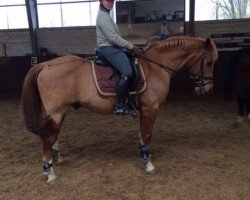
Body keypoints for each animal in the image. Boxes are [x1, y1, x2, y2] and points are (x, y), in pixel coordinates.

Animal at [21, 36, 217, 184]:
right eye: (208, 63)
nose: (207, 89)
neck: (154, 66)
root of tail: (45, 65)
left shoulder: (144, 110)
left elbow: (141, 135)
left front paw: (143, 156)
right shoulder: (150, 108)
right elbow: (147, 135)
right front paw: (148, 164)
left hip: (58, 113)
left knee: (52, 137)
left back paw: (56, 159)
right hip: (56, 112)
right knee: (48, 139)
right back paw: (50, 173)